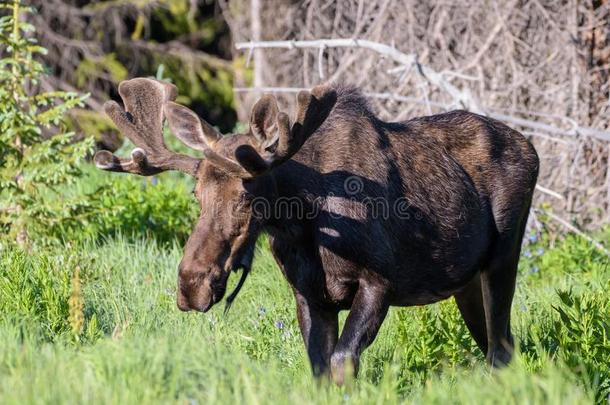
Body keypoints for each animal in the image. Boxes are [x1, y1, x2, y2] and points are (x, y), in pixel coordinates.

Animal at [95, 77, 536, 384]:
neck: (305, 223)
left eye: (247, 195)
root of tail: (531, 148)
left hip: (504, 256)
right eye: (196, 193)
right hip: (465, 282)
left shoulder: (379, 282)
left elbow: (342, 363)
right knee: (500, 345)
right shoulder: (309, 293)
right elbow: (319, 367)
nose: (191, 285)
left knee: (500, 348)